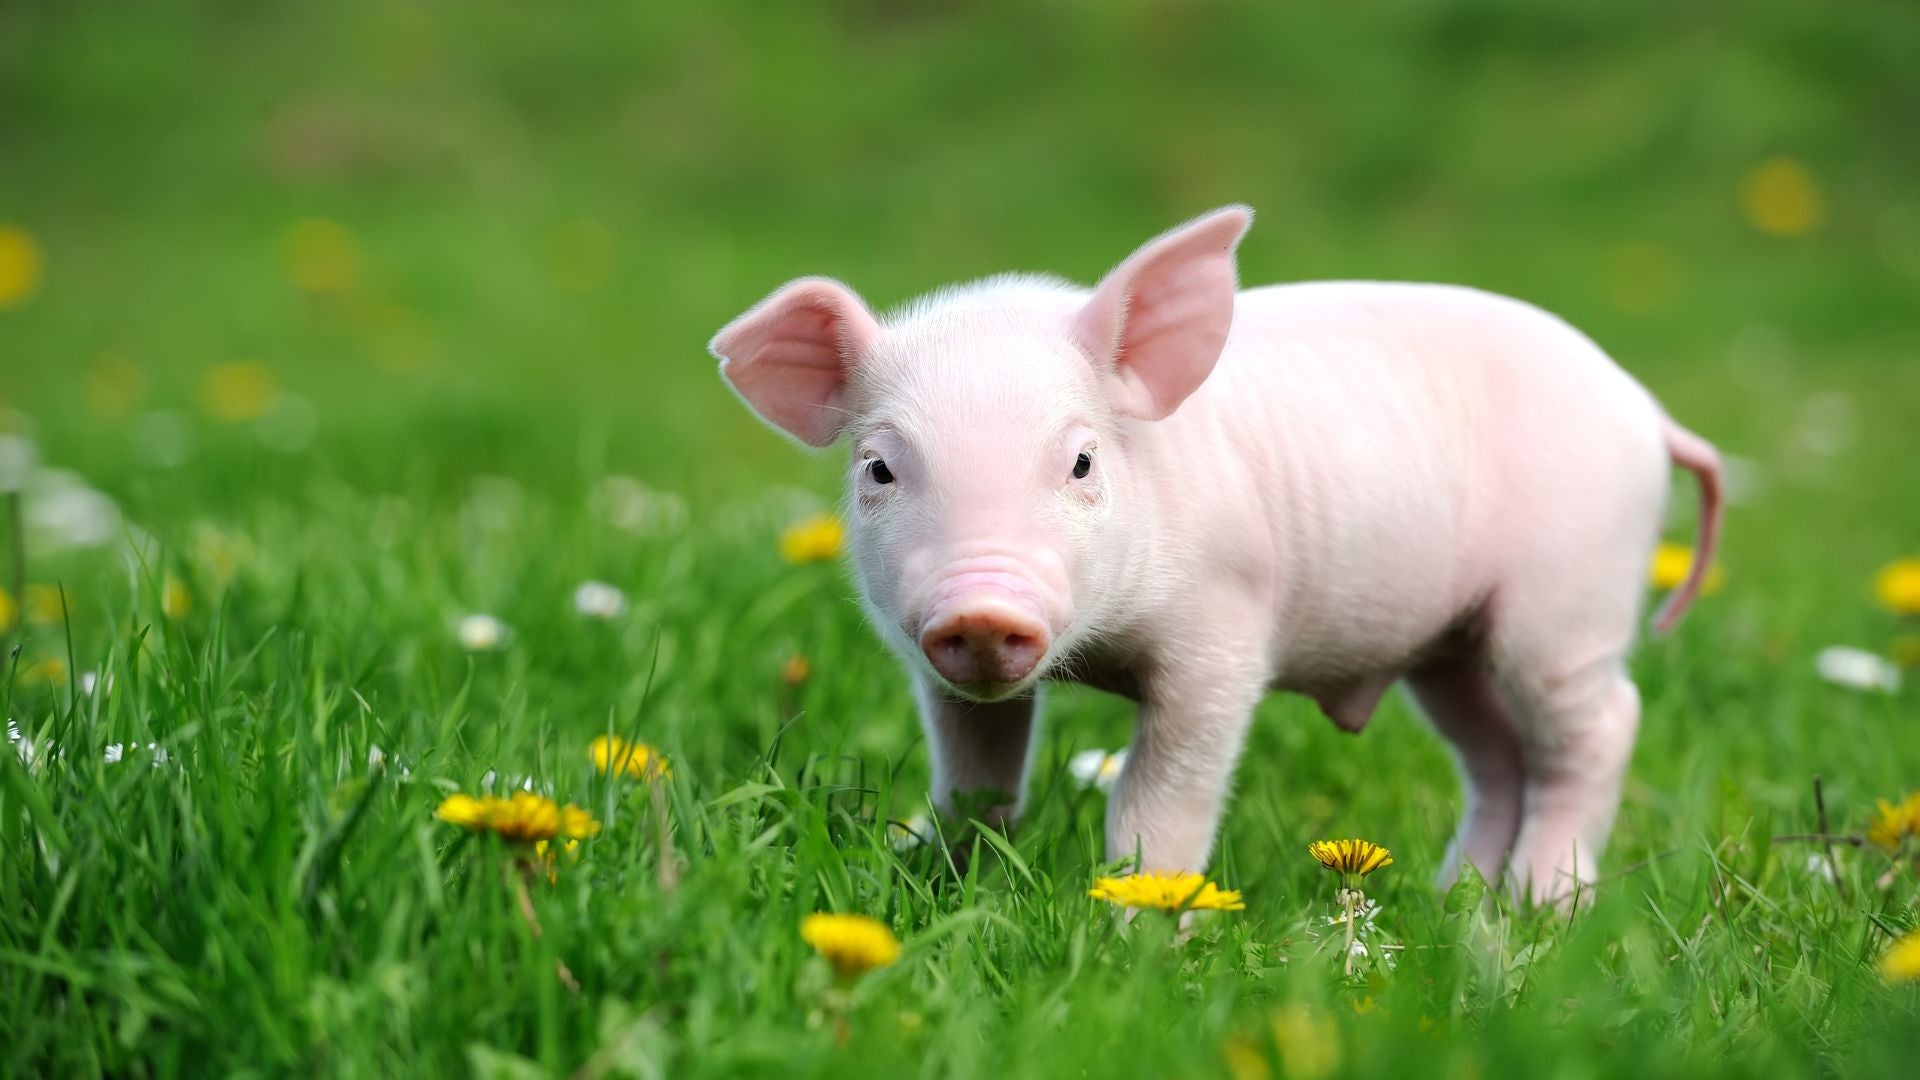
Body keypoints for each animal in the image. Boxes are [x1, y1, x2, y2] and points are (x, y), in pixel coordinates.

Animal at [709, 206, 1722, 904]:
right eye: (879, 467)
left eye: (1082, 461)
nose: (983, 608)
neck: (1098, 651)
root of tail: (1648, 411)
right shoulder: (941, 674)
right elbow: (976, 779)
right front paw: (930, 873)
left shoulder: (1223, 633)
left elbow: (1161, 797)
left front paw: (1139, 924)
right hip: (1449, 645)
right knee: (1498, 755)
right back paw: (1454, 904)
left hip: (1568, 599)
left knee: (1601, 725)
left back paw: (1541, 907)